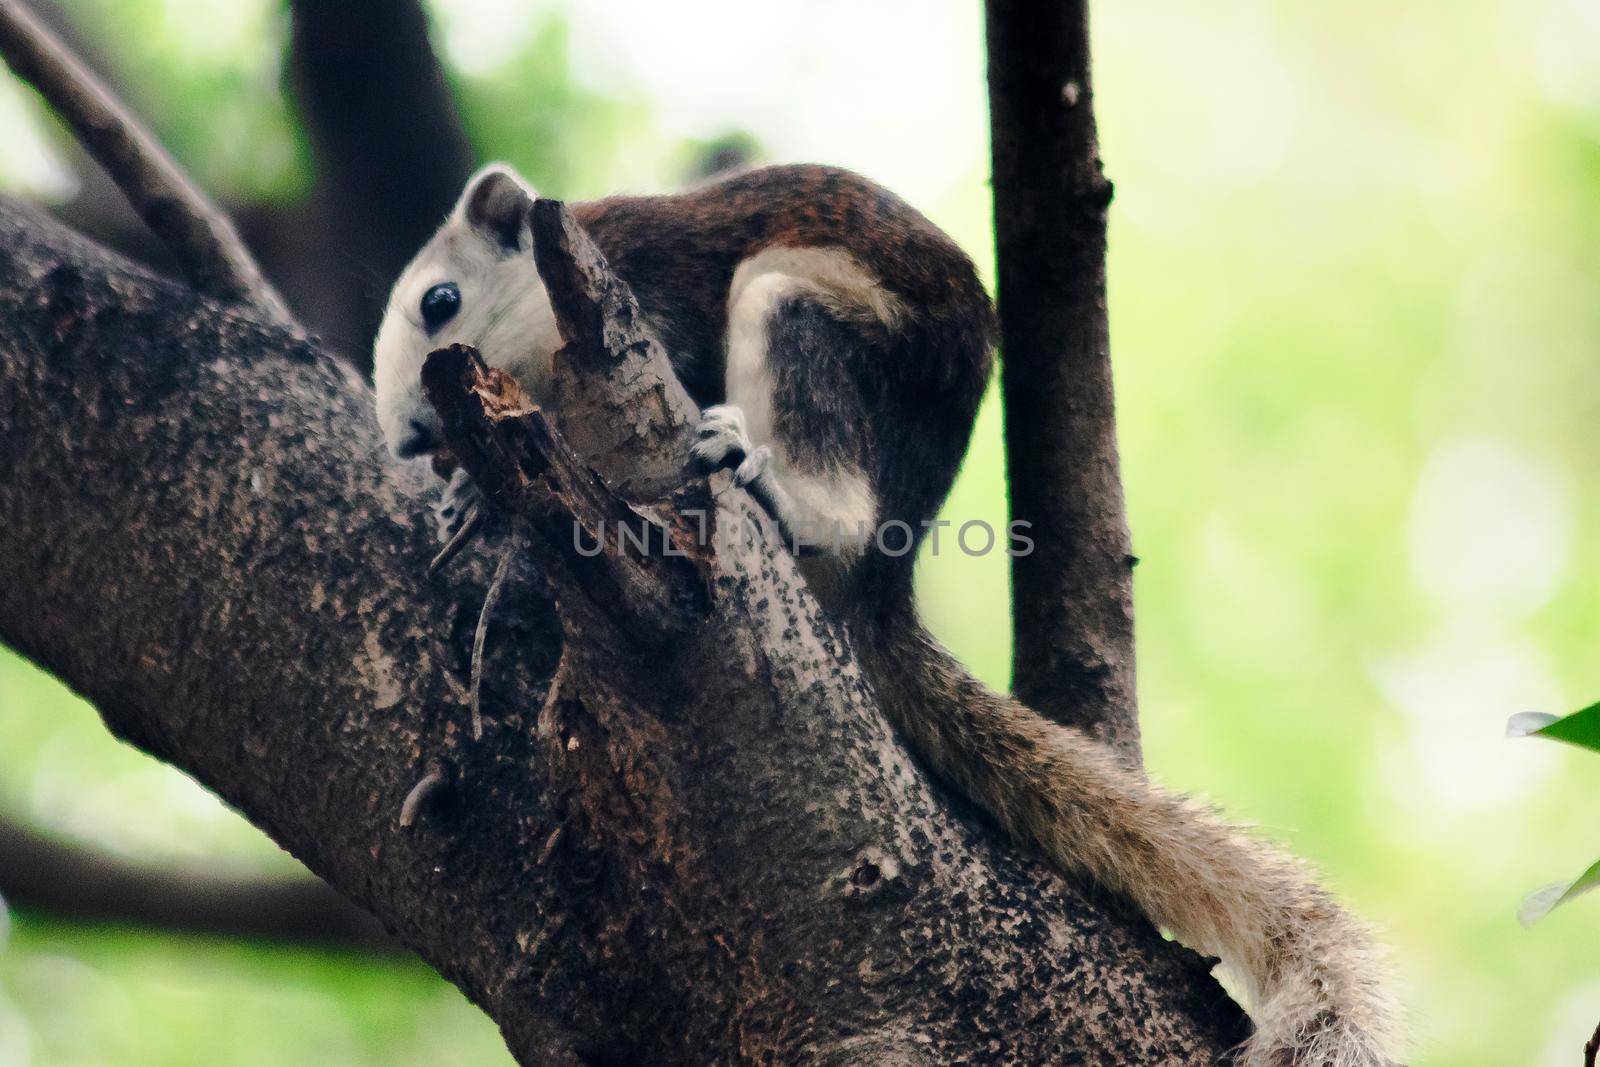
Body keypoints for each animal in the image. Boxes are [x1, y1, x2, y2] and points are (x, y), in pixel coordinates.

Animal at [374, 163, 1401, 1062]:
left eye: (440, 302)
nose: (410, 437)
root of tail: (883, 583)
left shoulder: (648, 296)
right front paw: (468, 504)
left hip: (803, 314)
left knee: (836, 493)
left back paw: (774, 486)